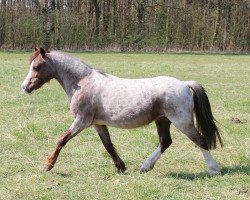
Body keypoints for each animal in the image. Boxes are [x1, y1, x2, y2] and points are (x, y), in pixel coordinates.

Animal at [20, 48, 223, 175]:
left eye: (36, 66)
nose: (24, 87)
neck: (83, 82)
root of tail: (184, 84)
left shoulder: (81, 121)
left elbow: (62, 140)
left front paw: (48, 165)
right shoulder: (98, 124)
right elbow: (108, 146)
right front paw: (121, 167)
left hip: (182, 122)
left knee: (200, 140)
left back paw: (213, 169)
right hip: (163, 120)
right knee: (165, 142)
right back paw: (145, 167)